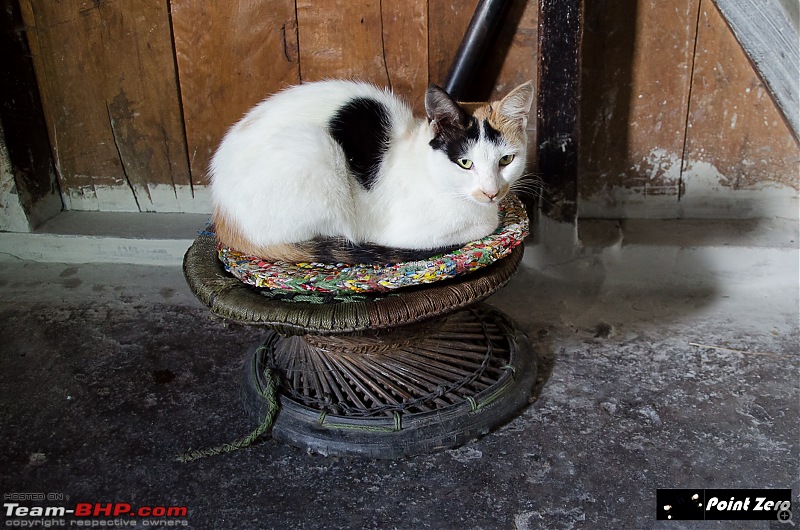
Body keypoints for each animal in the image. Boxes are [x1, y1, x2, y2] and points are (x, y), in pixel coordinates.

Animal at [208, 78, 532, 264]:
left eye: (506, 160)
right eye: (465, 163)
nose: (491, 192)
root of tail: (223, 214)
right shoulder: (402, 231)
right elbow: (485, 227)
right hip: (315, 150)